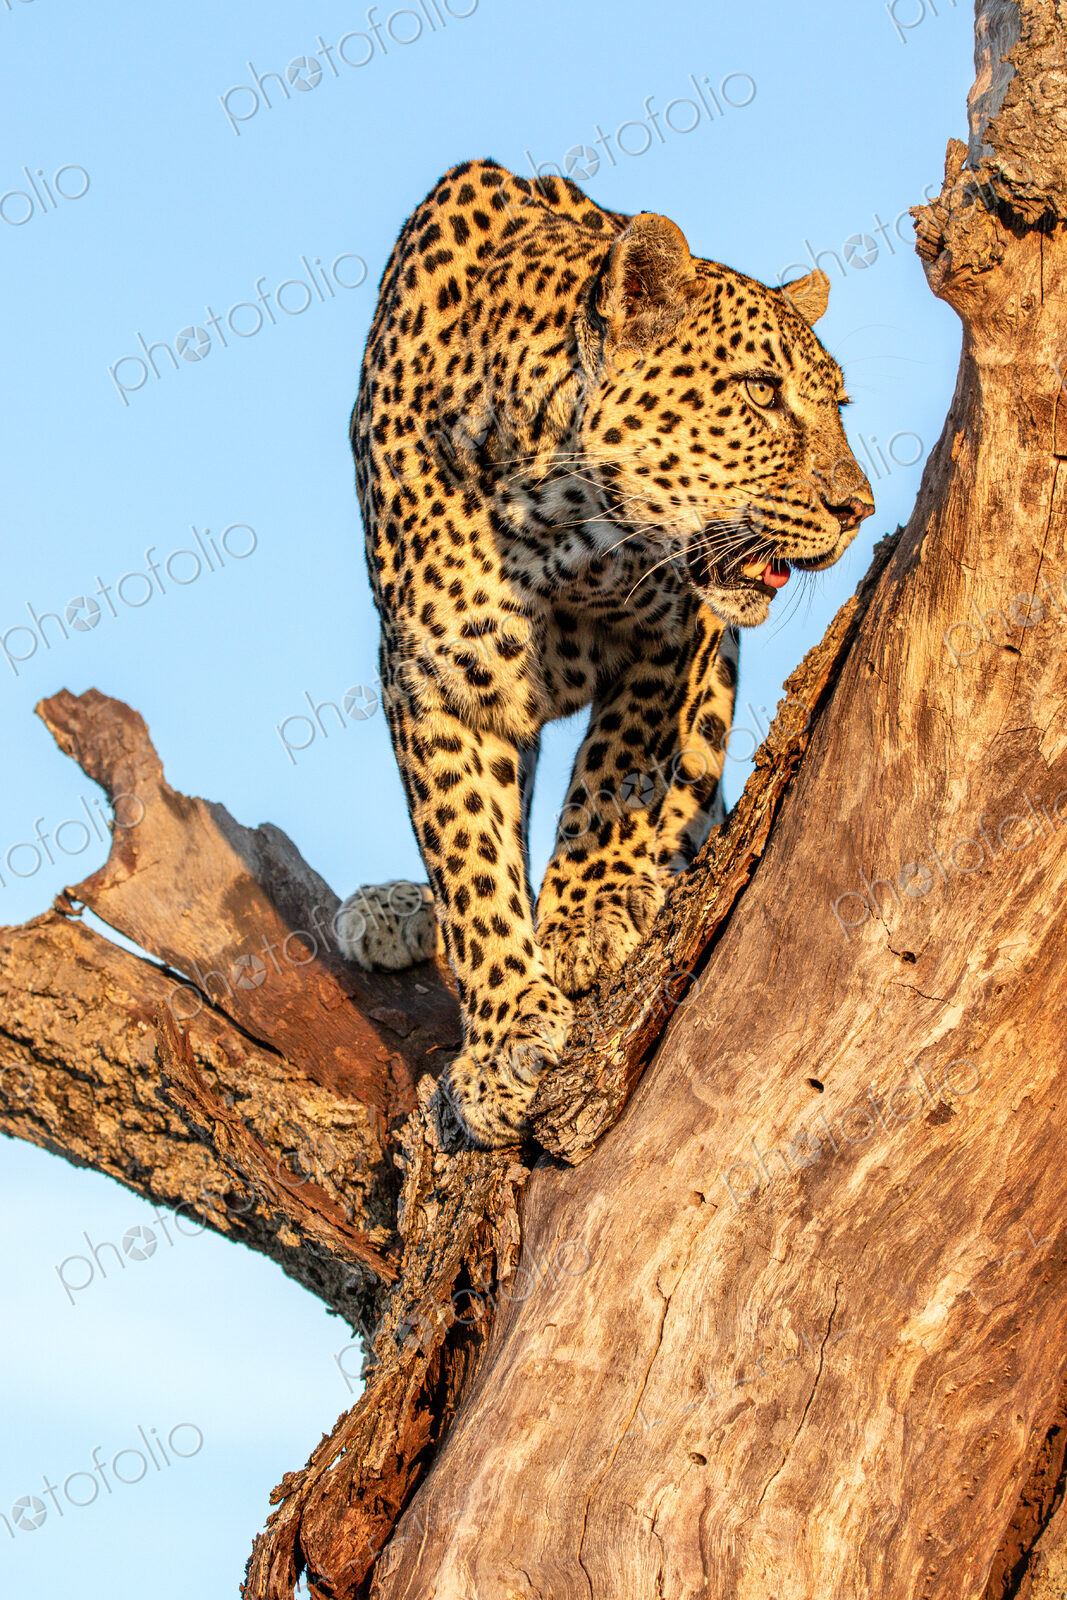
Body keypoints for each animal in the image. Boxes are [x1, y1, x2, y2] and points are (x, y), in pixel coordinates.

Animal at [335, 158, 874, 1148]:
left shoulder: (678, 632)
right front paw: (505, 1037)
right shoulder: (431, 679)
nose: (857, 507)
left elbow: (619, 767)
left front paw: (586, 915)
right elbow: (466, 854)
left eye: (837, 406)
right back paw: (391, 908)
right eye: (760, 390)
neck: (553, 516)